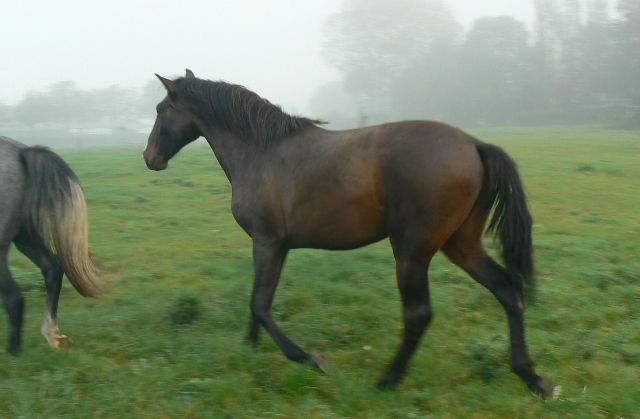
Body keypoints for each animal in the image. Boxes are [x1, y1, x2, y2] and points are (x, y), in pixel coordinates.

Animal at [0, 137, 102, 354]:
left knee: (14, 298)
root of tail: (21, 152)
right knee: (52, 269)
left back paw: (13, 353)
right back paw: (52, 334)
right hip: (24, 234)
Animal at [144, 69, 552, 398]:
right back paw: (530, 375)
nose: (150, 158)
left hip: (412, 253)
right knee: (507, 288)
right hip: (461, 245)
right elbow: (257, 300)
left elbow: (259, 303)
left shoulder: (267, 241)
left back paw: (387, 380)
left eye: (161, 110)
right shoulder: (277, 246)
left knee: (418, 314)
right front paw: (249, 349)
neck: (261, 152)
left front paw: (308, 358)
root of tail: (475, 145)